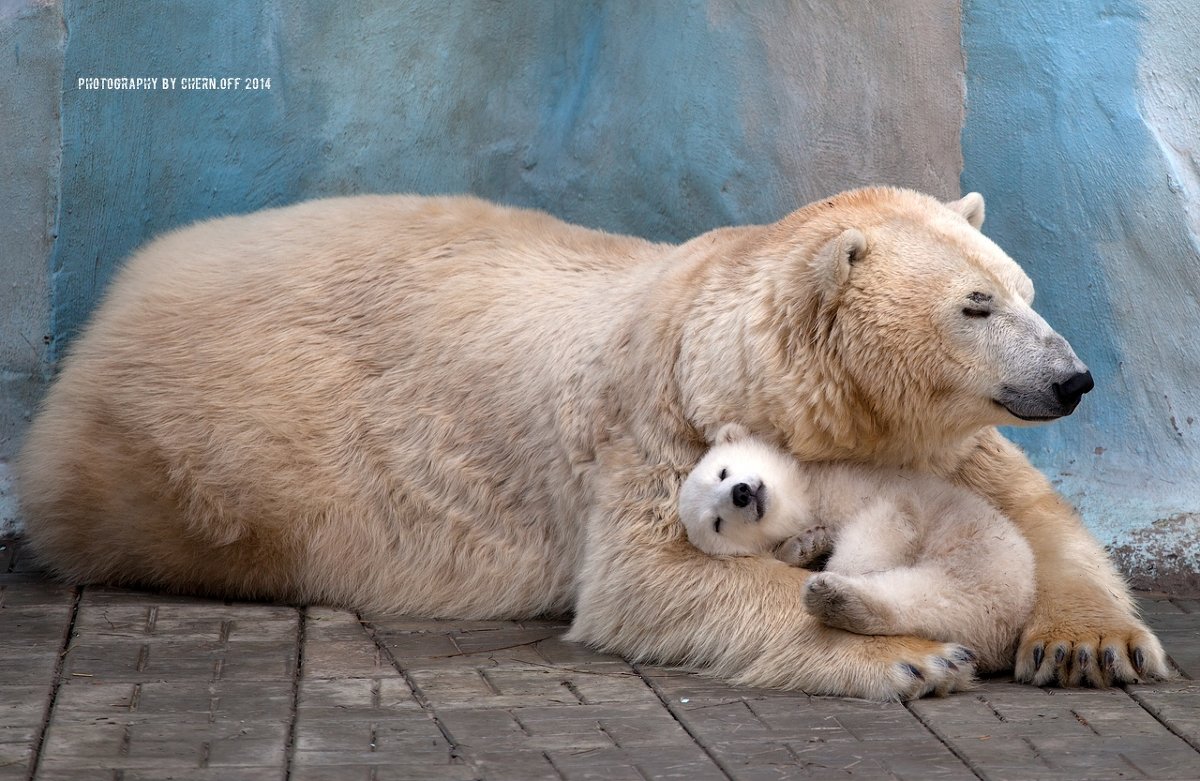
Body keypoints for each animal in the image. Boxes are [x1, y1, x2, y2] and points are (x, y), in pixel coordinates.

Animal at [16, 185, 1161, 700]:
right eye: (975, 305)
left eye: (1022, 286)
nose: (1072, 378)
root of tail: (114, 301)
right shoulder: (657, 422)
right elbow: (656, 580)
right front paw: (916, 654)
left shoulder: (939, 444)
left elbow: (1037, 521)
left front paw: (1088, 645)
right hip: (209, 454)